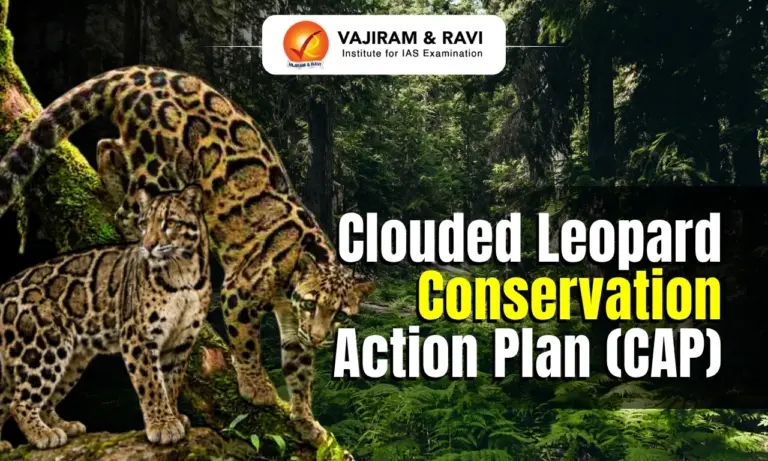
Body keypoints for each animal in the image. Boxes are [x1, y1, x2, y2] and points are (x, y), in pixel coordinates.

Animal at [0, 185, 211, 450]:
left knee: (23, 399)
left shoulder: (181, 341)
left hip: (71, 358)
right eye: (144, 224)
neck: (183, 273)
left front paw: (173, 416)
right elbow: (152, 383)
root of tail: (3, 288)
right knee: (19, 402)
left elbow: (171, 384)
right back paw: (43, 434)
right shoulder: (138, 335)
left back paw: (59, 427)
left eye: (169, 222)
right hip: (43, 346)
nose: (147, 245)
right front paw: (163, 425)